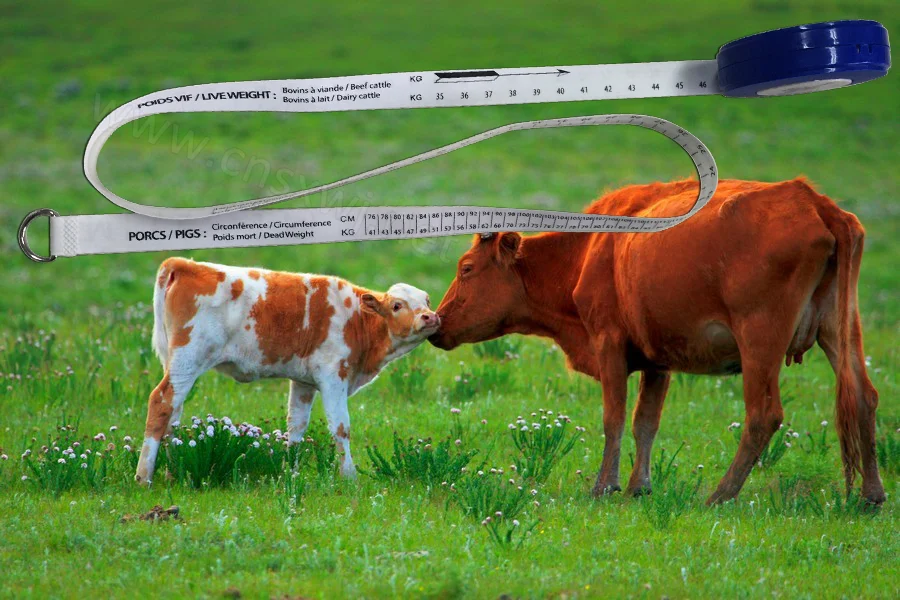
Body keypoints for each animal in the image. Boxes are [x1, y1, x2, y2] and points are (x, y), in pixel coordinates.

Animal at [135, 258, 440, 485]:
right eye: (397, 305)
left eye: (426, 300)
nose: (430, 317)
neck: (358, 320)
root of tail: (185, 263)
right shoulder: (334, 376)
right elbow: (341, 427)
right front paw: (350, 477)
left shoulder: (303, 382)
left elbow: (296, 426)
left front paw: (290, 472)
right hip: (189, 358)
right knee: (161, 402)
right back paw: (144, 477)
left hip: (179, 364)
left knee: (174, 414)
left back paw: (173, 471)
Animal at [430, 178, 885, 506]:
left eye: (466, 268)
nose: (437, 323)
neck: (591, 248)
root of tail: (813, 201)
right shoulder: (657, 360)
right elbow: (645, 422)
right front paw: (639, 486)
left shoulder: (609, 343)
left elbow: (614, 417)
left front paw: (604, 486)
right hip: (841, 332)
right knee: (863, 397)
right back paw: (871, 496)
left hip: (760, 339)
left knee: (764, 414)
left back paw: (719, 495)